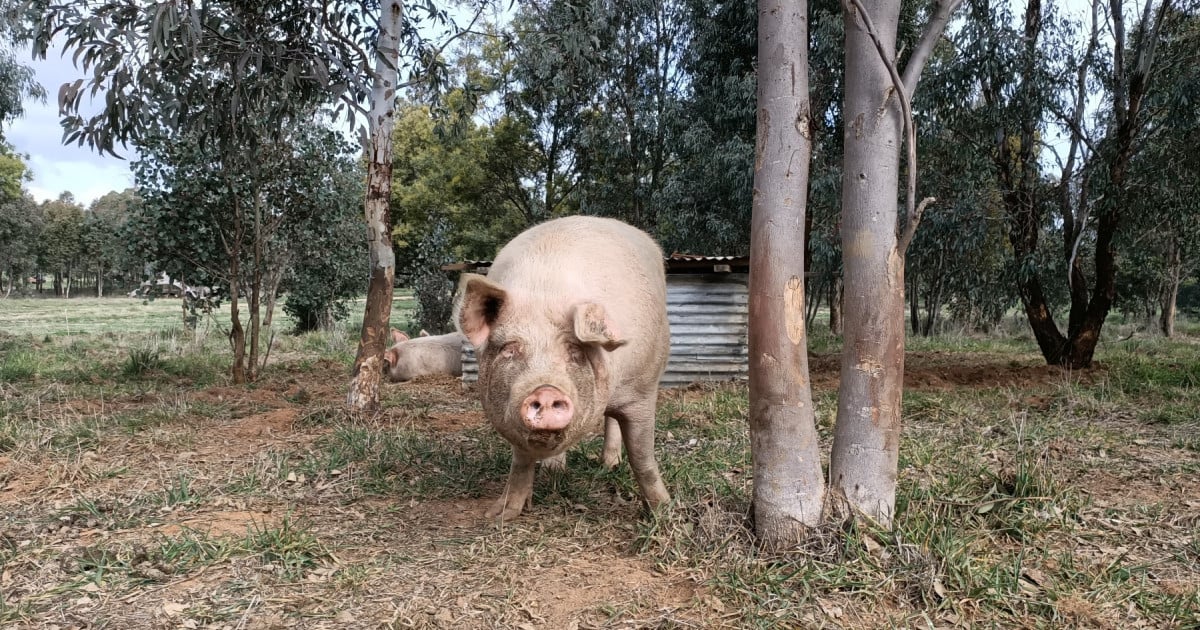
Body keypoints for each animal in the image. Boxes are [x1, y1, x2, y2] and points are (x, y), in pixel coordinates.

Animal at [453, 216, 672, 520]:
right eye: (510, 348)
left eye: (574, 350)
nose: (545, 391)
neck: (546, 292)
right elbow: (520, 463)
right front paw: (500, 516)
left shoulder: (642, 391)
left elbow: (642, 456)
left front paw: (665, 511)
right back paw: (555, 470)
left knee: (613, 421)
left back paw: (609, 464)